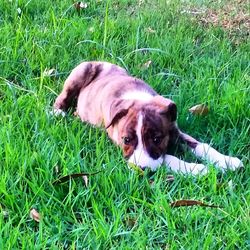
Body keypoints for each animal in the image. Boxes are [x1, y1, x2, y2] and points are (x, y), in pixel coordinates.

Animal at [53, 61, 243, 174]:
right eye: (126, 140)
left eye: (157, 139)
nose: (140, 169)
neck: (138, 100)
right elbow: (167, 158)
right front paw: (198, 169)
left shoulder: (175, 131)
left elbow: (201, 146)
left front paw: (227, 161)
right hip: (81, 71)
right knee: (63, 96)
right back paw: (58, 113)